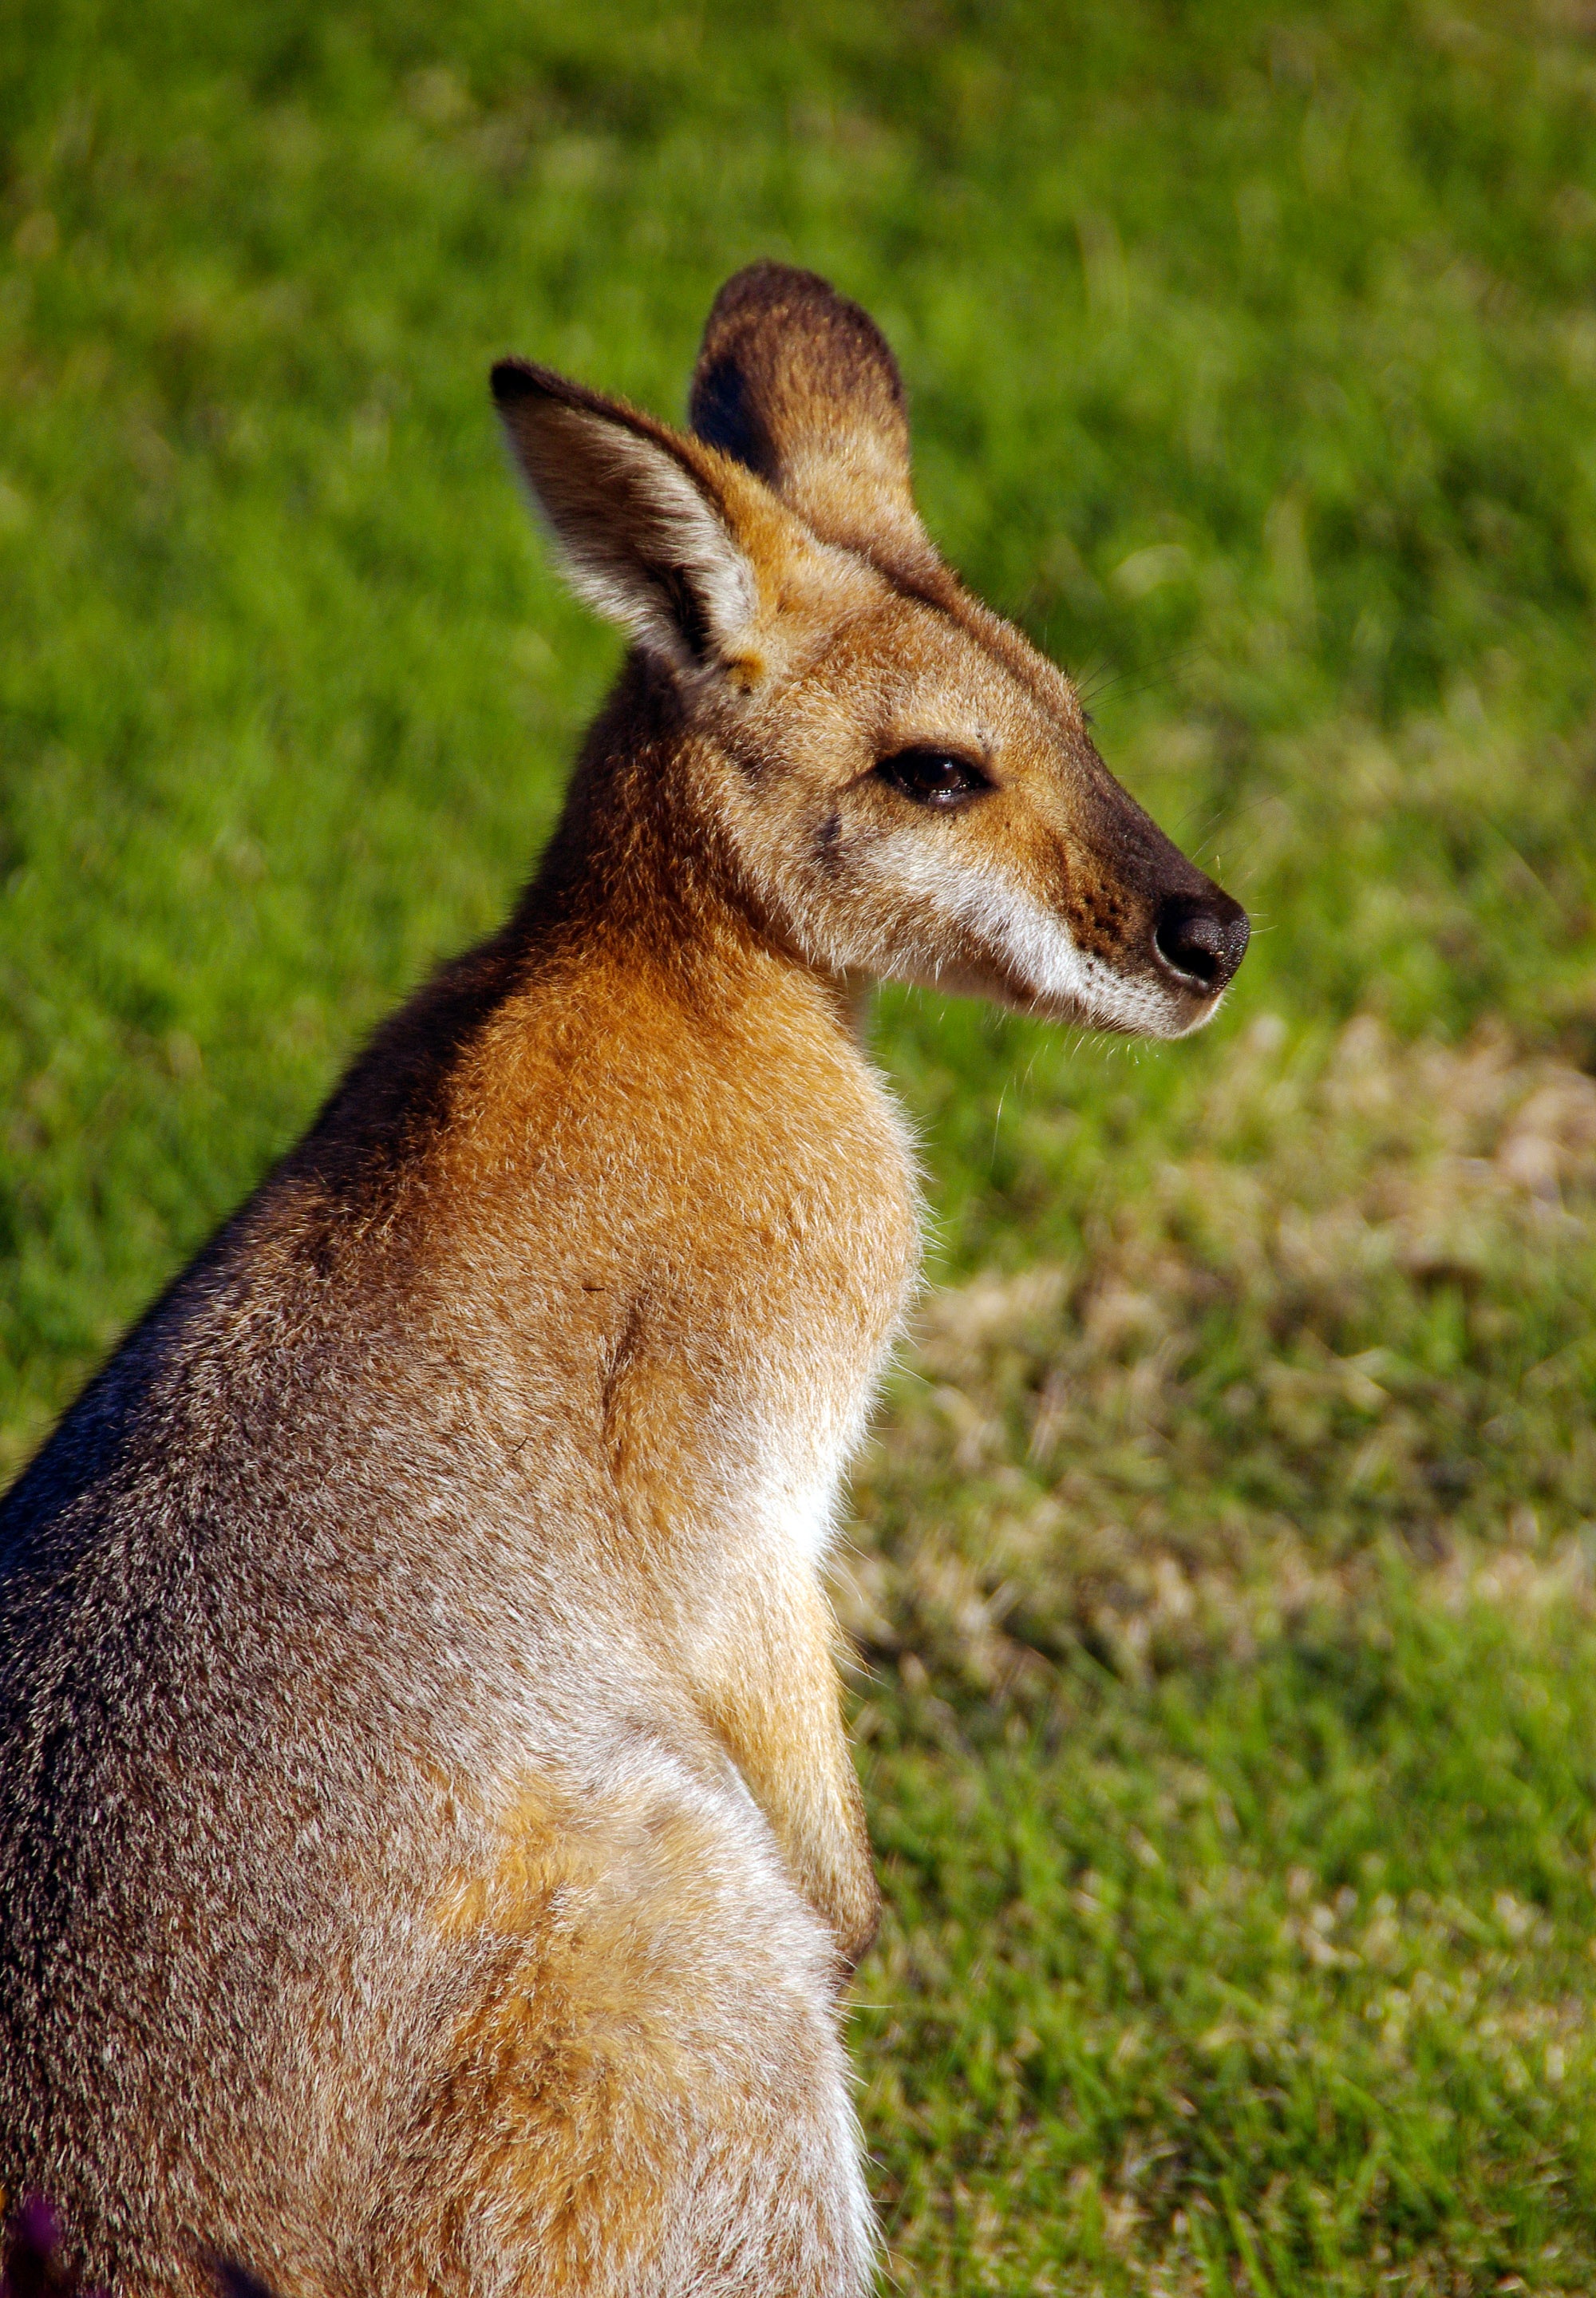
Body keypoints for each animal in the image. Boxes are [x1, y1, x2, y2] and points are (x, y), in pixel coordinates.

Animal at [0, 262, 1247, 2298]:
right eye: (934, 774)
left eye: (1070, 707)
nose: (1212, 937)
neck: (694, 966)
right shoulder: (729, 1438)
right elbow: (753, 1613)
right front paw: (863, 1917)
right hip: (671, 1954)